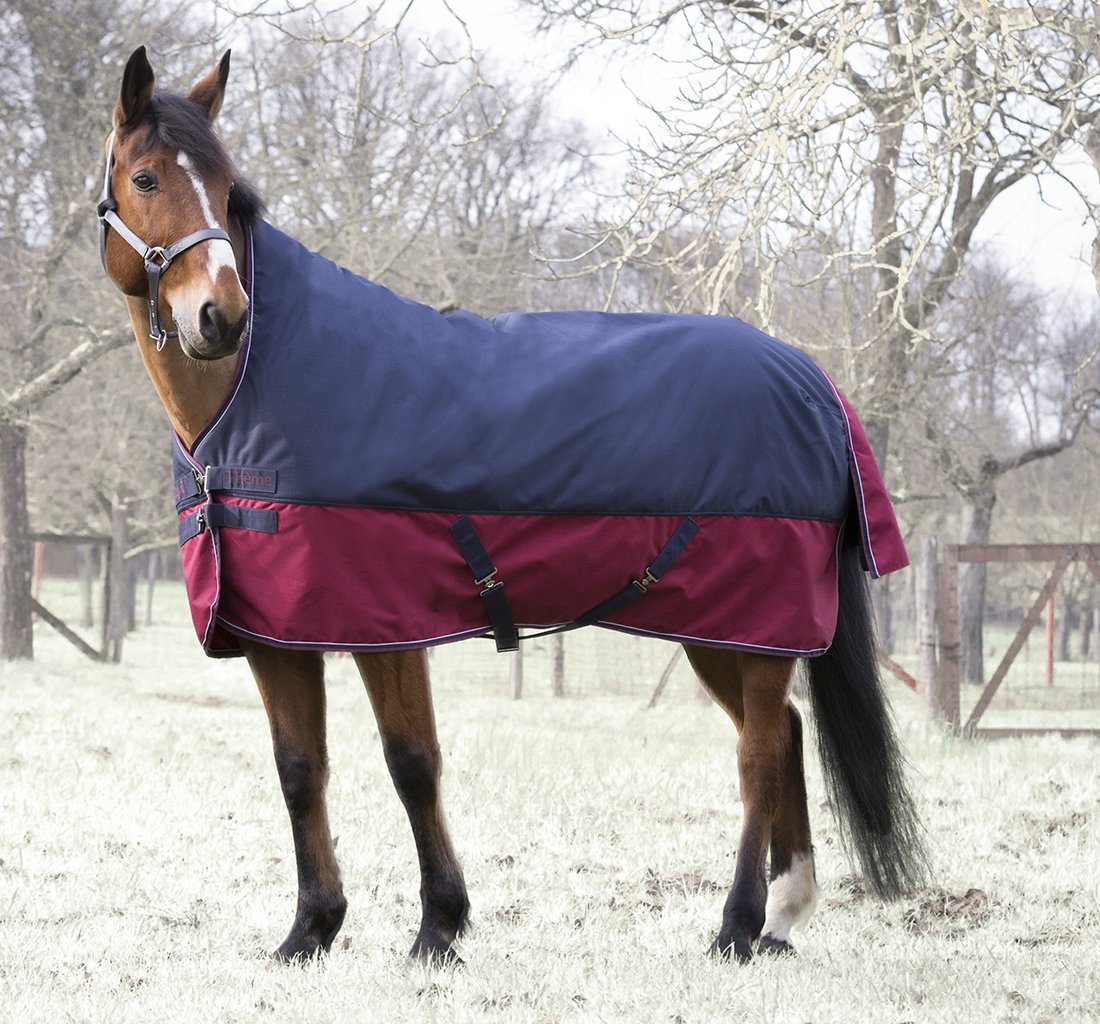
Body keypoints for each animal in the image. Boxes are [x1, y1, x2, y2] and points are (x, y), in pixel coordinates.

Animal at [97, 46, 927, 964]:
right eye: (145, 177)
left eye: (228, 185)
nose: (222, 314)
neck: (261, 395)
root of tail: (813, 381)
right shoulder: (278, 637)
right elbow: (299, 770)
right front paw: (310, 931)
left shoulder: (388, 628)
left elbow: (412, 762)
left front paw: (438, 926)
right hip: (726, 630)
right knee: (782, 736)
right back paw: (782, 915)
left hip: (753, 619)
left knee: (758, 751)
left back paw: (737, 924)